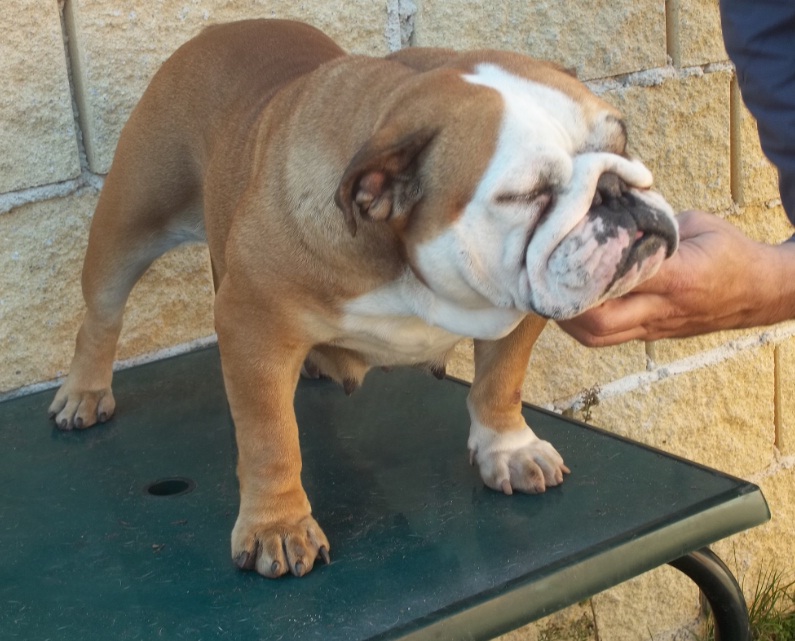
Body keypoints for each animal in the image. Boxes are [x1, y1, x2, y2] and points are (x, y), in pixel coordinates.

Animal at [48, 19, 678, 578]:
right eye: (527, 195)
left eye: (624, 144)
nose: (617, 189)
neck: (410, 262)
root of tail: (212, 31)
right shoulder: (252, 325)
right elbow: (269, 436)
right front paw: (278, 525)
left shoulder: (523, 304)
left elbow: (502, 381)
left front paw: (510, 448)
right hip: (130, 221)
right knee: (101, 315)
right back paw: (85, 393)